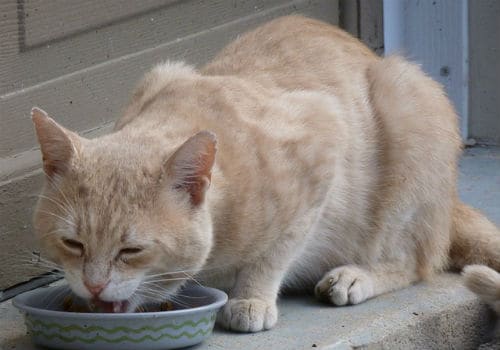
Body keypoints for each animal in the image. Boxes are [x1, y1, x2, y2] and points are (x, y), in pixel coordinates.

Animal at [30, 15, 500, 334]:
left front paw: (250, 298)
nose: (93, 287)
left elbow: (274, 253)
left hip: (408, 110)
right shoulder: (161, 71)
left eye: (132, 250)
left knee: (414, 261)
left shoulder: (324, 142)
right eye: (72, 244)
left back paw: (355, 276)